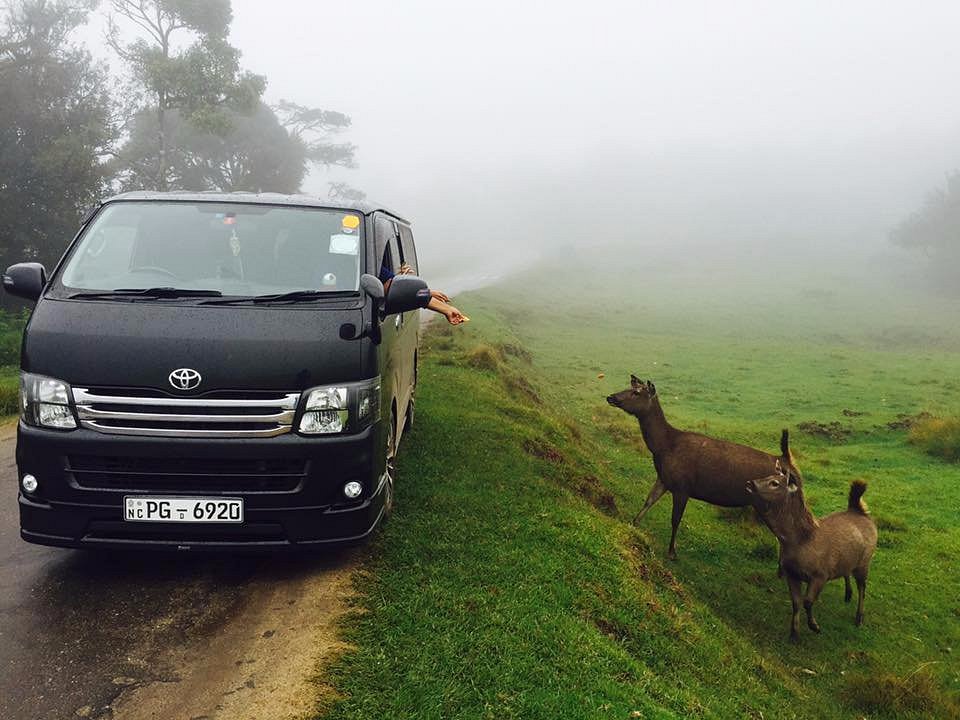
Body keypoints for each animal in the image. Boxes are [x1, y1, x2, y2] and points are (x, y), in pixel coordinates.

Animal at [604, 376, 800, 564]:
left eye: (636, 392)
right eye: (629, 387)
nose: (611, 397)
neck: (663, 447)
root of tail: (788, 461)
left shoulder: (683, 486)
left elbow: (675, 519)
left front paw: (672, 552)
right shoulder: (664, 478)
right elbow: (649, 500)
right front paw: (633, 523)